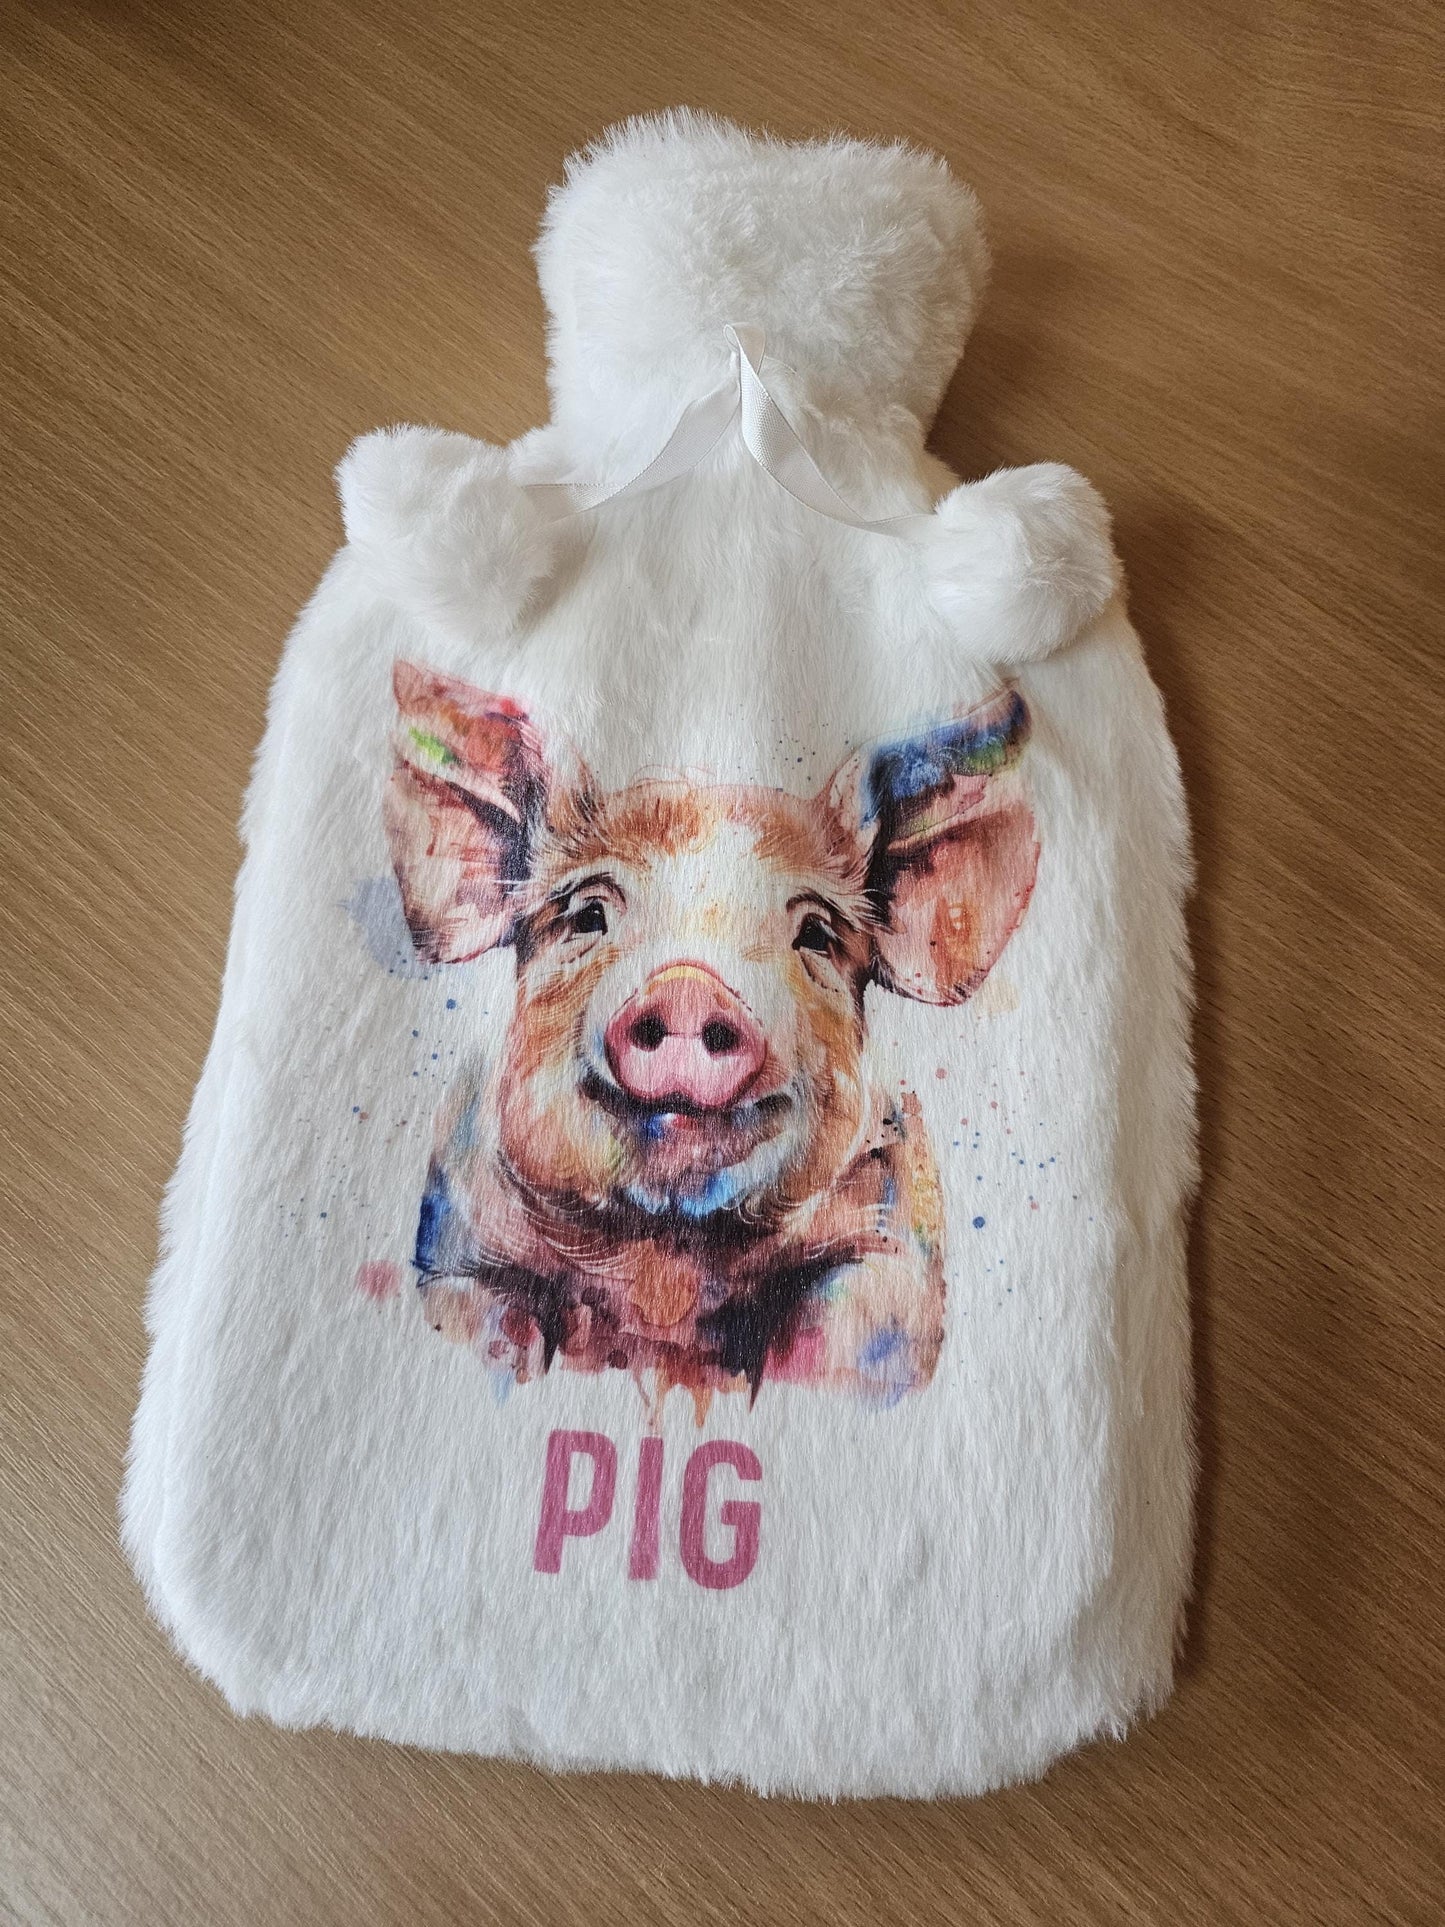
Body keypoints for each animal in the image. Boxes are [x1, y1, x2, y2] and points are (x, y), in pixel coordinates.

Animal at [382, 659, 1039, 1411]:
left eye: (815, 933)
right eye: (587, 914)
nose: (688, 987)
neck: (663, 1265)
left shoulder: (888, 1252)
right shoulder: (457, 1249)